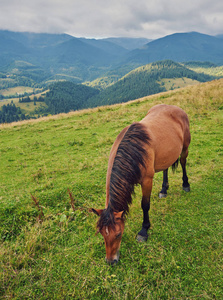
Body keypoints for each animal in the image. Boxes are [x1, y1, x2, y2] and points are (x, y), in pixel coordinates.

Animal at [91, 104, 191, 264]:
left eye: (118, 234)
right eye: (101, 233)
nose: (111, 261)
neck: (132, 150)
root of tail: (176, 107)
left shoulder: (147, 181)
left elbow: (145, 205)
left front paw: (144, 231)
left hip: (185, 147)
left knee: (182, 162)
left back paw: (186, 185)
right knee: (166, 168)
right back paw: (164, 189)